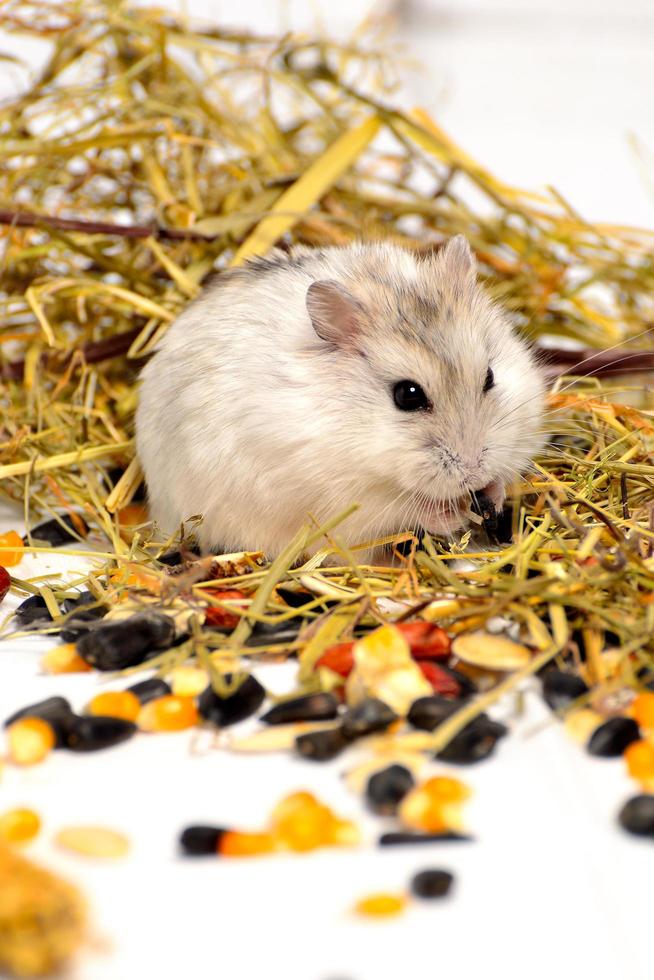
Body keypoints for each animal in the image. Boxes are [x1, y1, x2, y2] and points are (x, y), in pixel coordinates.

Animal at [136, 235, 544, 560]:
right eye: (407, 395)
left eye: (490, 377)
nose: (474, 471)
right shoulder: (341, 498)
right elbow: (404, 510)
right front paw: (454, 515)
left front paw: (492, 493)